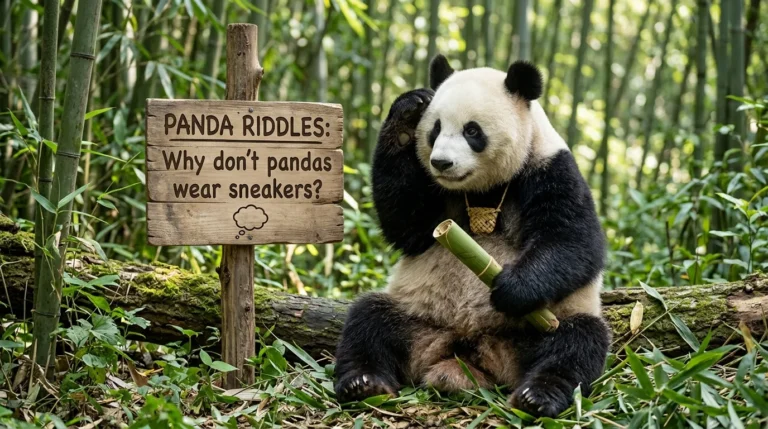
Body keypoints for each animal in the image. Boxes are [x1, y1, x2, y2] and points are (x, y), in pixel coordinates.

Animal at [334, 55, 610, 418]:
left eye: (472, 130)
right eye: (435, 129)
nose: (441, 162)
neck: (484, 189)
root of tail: (466, 350)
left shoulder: (550, 168)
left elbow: (574, 241)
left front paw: (511, 288)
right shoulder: (433, 196)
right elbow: (407, 227)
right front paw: (409, 108)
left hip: (541, 324)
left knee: (576, 344)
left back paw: (536, 396)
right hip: (417, 315)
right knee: (368, 320)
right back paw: (364, 383)